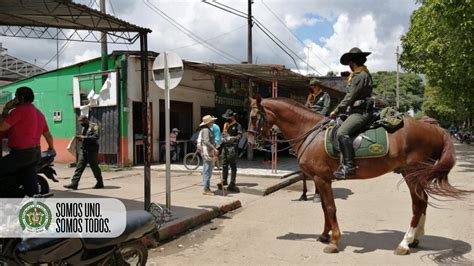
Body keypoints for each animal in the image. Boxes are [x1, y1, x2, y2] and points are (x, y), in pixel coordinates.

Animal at [246, 96, 468, 255]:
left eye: (254, 117)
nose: (249, 142)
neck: (311, 133)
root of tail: (434, 128)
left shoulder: (322, 179)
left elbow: (330, 208)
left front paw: (334, 241)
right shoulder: (321, 179)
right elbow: (324, 208)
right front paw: (324, 235)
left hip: (412, 174)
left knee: (417, 205)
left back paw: (405, 243)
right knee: (422, 202)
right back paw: (414, 239)